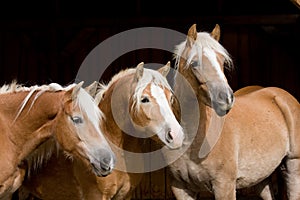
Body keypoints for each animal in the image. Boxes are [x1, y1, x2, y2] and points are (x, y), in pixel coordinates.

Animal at [168, 23, 300, 200]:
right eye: (194, 63)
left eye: (222, 61)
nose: (227, 98)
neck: (191, 140)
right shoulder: (181, 188)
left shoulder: (224, 185)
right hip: (261, 177)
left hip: (293, 165)